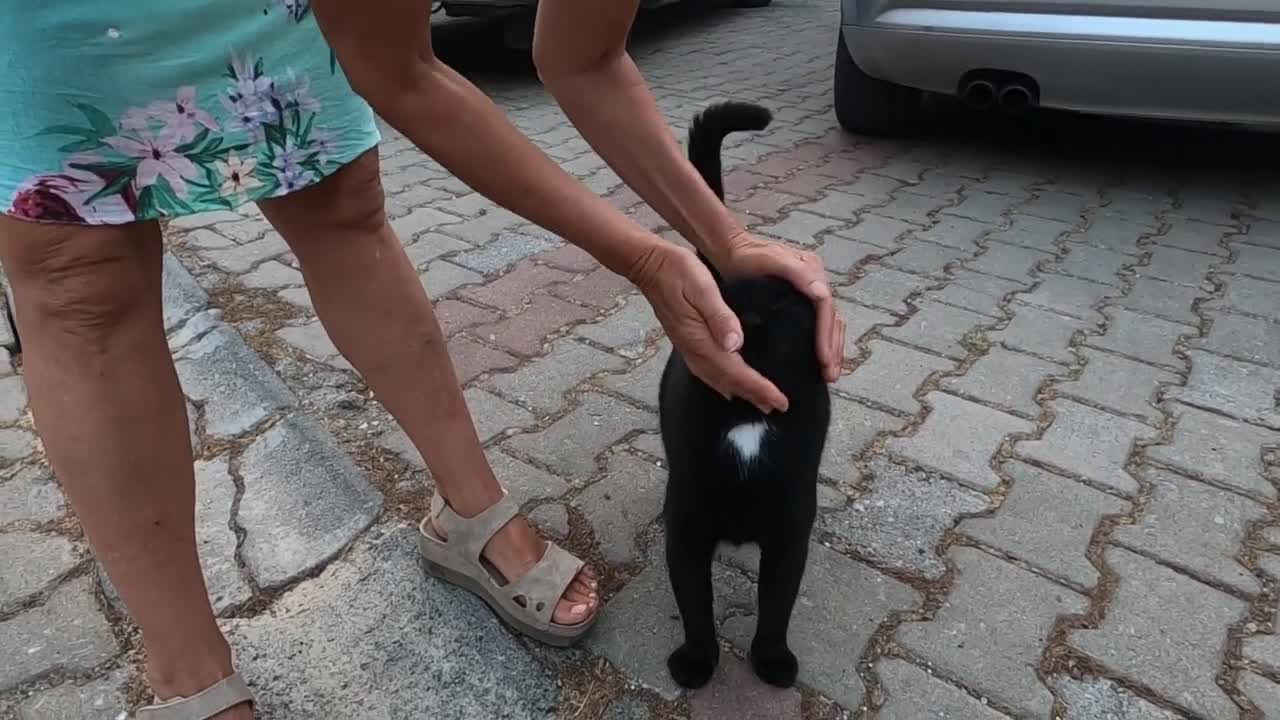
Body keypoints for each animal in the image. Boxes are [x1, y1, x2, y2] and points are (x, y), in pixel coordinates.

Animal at [660, 102, 829, 691]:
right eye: (722, 301)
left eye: (784, 308)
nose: (748, 316)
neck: (746, 419)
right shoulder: (686, 527)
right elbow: (695, 604)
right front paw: (697, 662)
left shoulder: (790, 533)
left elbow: (777, 604)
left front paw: (772, 661)